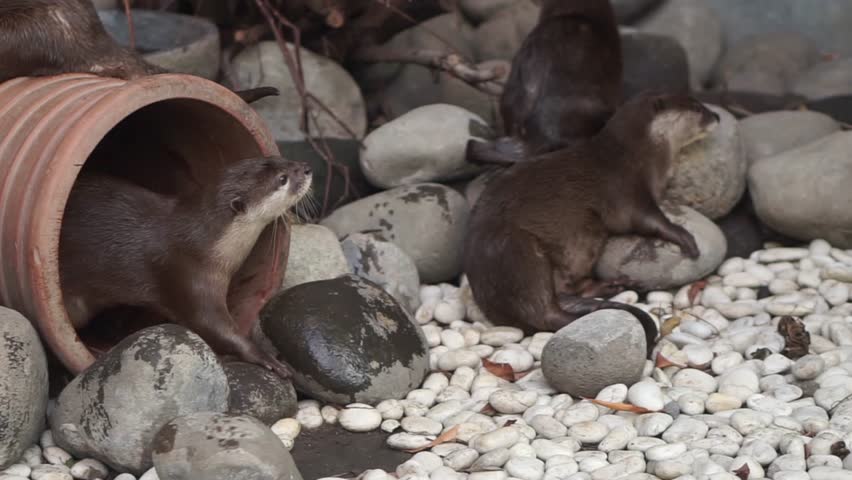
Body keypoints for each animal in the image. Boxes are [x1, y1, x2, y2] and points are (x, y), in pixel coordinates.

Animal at [59, 157, 312, 379]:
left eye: (280, 160)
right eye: (282, 179)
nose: (307, 168)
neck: (202, 245)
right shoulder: (187, 278)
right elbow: (212, 326)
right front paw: (265, 358)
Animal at [463, 92, 720, 354]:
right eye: (697, 108)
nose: (717, 116)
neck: (638, 155)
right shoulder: (626, 190)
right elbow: (649, 221)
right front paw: (684, 237)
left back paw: (612, 286)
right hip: (517, 251)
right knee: (545, 309)